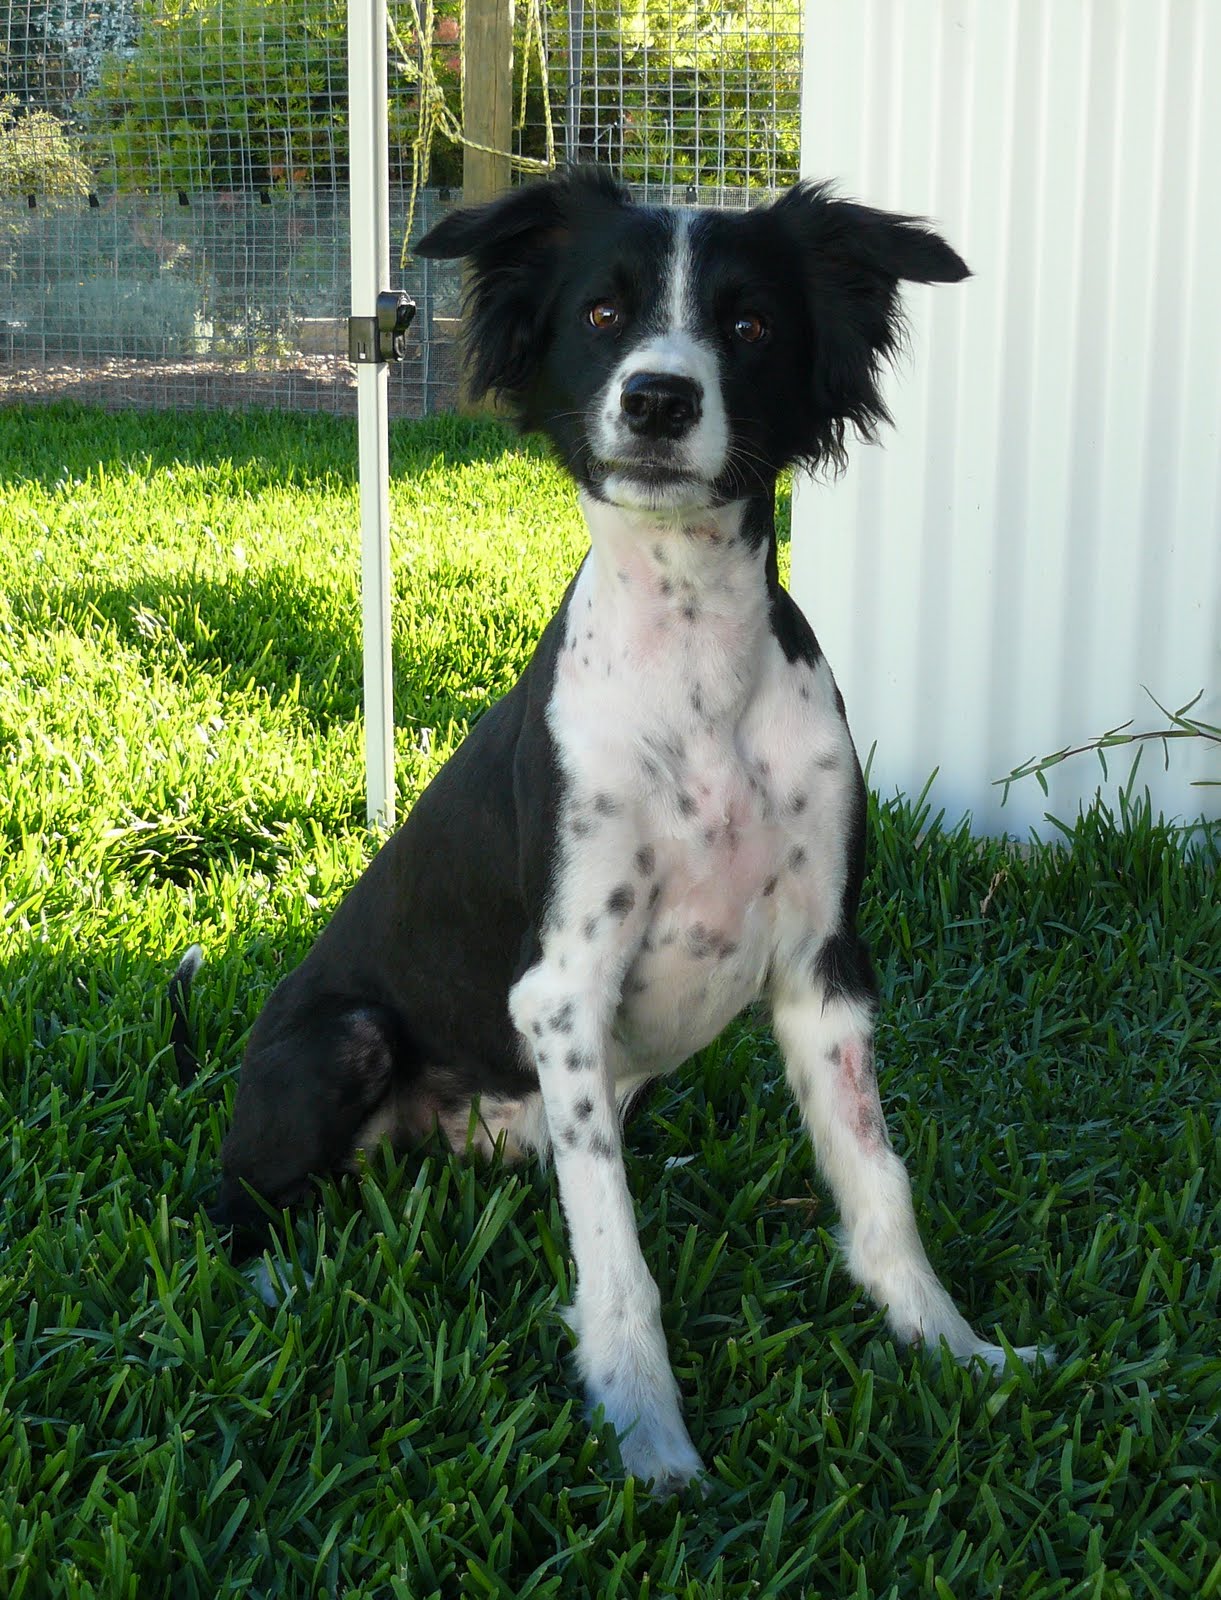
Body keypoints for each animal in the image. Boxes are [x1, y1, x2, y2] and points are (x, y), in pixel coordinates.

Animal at [181, 168, 1049, 1491]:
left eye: (748, 323)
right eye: (603, 313)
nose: (657, 396)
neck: (694, 675)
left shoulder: (825, 966)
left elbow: (879, 1184)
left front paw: (951, 1346)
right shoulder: (563, 988)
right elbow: (617, 1258)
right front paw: (651, 1437)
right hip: (344, 1043)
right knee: (226, 1201)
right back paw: (273, 1273)